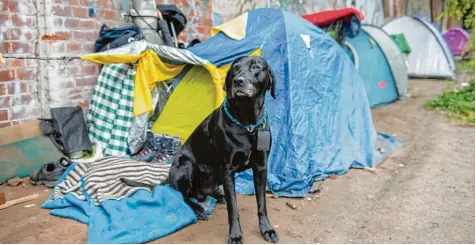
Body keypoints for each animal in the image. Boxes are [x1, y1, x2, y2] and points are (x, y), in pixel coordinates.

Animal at [168, 56, 278, 244]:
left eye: (256, 67)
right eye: (235, 68)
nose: (238, 81)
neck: (248, 124)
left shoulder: (261, 167)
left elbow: (262, 204)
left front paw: (267, 230)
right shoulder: (228, 169)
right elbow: (233, 208)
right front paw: (235, 235)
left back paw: (218, 196)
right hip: (186, 166)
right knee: (183, 195)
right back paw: (198, 208)